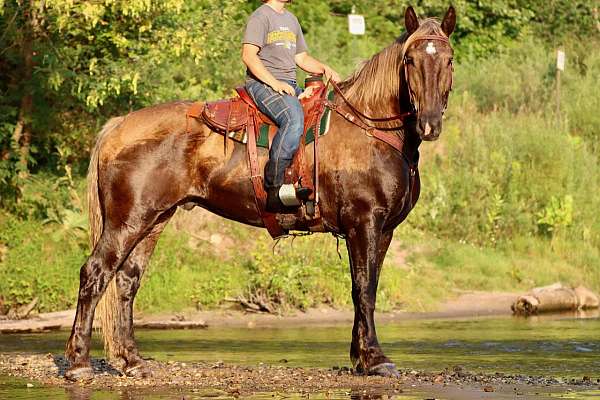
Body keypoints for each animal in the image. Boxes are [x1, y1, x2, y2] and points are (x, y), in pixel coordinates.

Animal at [65, 7, 458, 382]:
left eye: (449, 59)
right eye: (410, 60)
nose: (429, 123)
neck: (368, 128)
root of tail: (119, 125)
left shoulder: (383, 230)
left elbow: (367, 287)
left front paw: (360, 357)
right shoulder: (364, 223)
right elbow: (364, 289)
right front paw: (375, 359)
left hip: (154, 220)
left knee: (126, 281)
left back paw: (131, 361)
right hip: (127, 221)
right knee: (95, 273)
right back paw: (78, 363)